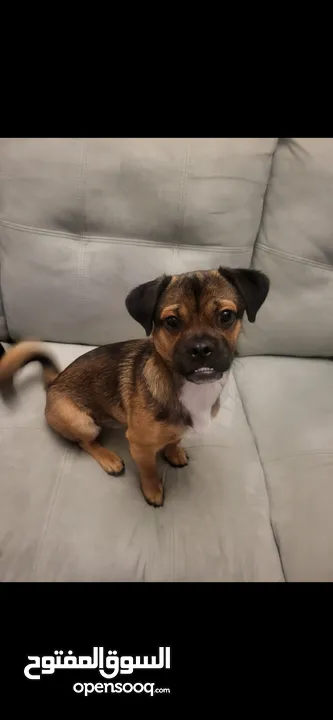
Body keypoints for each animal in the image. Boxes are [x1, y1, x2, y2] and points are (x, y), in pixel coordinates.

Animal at [0, 268, 268, 510]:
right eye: (172, 322)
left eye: (226, 316)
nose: (201, 349)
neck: (185, 387)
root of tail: (54, 382)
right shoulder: (139, 445)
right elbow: (149, 469)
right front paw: (152, 491)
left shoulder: (177, 429)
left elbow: (174, 439)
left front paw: (174, 452)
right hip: (83, 423)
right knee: (86, 443)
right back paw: (108, 458)